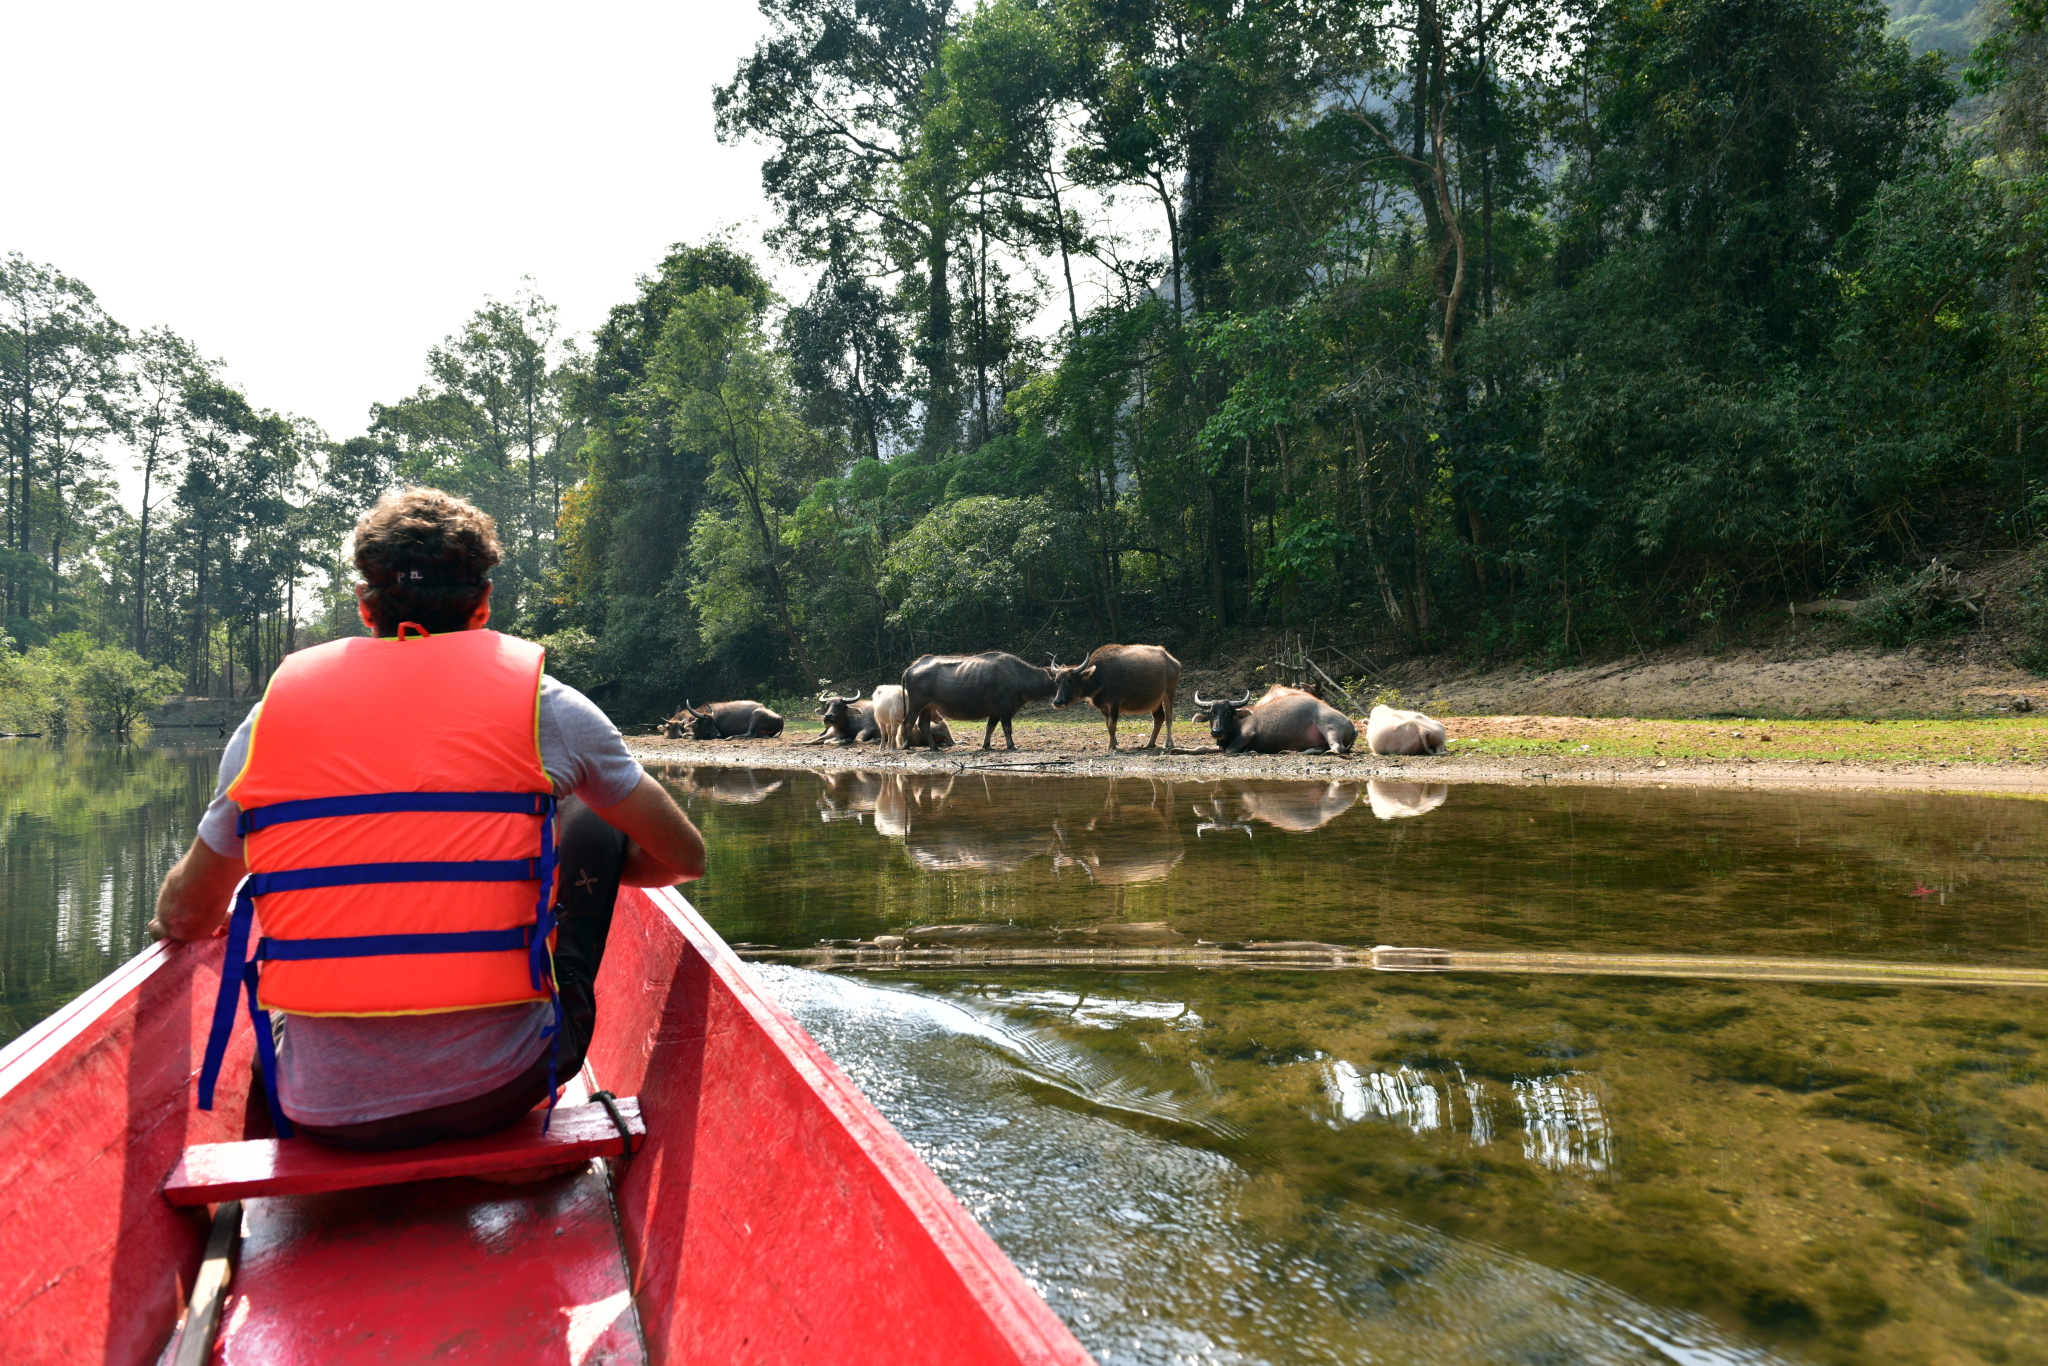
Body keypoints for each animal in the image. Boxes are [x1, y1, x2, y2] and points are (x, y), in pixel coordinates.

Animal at [897, 655, 1056, 753]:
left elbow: (989, 728)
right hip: (916, 703)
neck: (1019, 676)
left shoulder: (995, 712)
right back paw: (906, 746)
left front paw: (987, 745)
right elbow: (1007, 728)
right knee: (908, 722)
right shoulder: (1005, 709)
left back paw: (934, 747)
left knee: (923, 724)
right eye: (1060, 679)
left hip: (927, 706)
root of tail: (910, 669)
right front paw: (1011, 745)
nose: (1058, 701)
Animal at [1056, 647, 1187, 753]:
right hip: (1155, 701)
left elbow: (1112, 725)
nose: (1057, 701)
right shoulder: (1104, 707)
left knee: (1169, 717)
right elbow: (1108, 725)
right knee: (1159, 717)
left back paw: (1168, 743)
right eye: (1057, 681)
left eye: (1070, 680)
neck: (1098, 677)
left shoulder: (1114, 704)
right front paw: (1114, 743)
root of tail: (1174, 661)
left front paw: (1111, 747)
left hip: (1169, 692)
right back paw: (1149, 743)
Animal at [1187, 684, 1359, 757]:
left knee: (1337, 747)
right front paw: (1182, 750)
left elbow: (1230, 750)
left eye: (1228, 712)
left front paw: (1251, 751)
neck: (1237, 724)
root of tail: (1351, 724)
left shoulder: (1247, 735)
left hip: (1329, 728)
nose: (1217, 731)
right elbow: (1201, 747)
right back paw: (1290, 751)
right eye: (1211, 713)